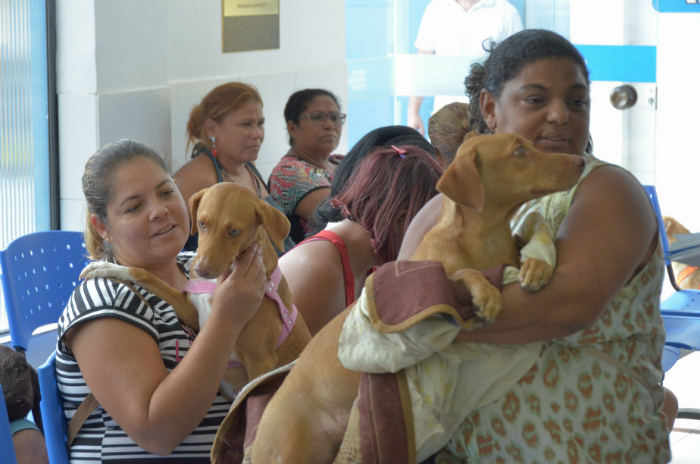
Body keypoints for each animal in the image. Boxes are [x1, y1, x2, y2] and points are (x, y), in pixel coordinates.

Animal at [250, 132, 584, 462]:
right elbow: (463, 273)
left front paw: (537, 265)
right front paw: (486, 291)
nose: (581, 161)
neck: (485, 239)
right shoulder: (428, 272)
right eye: (519, 151)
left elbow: (529, 246)